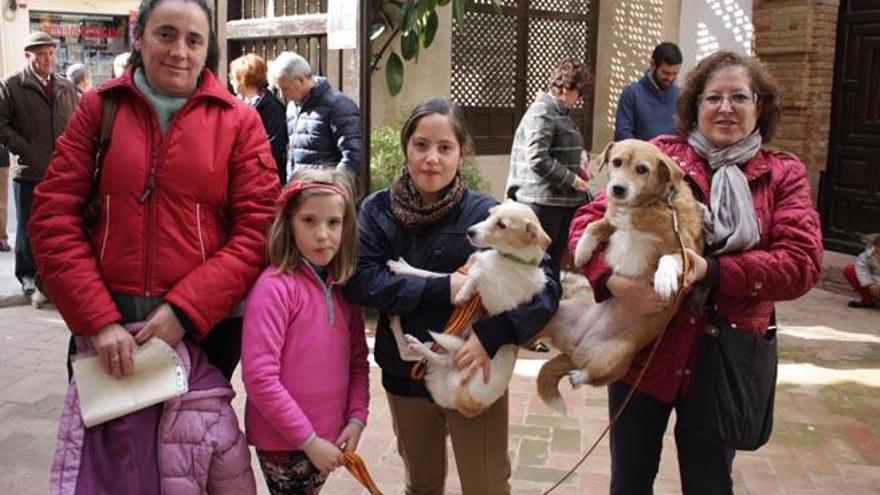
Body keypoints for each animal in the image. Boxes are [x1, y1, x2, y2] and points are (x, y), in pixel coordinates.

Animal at [386, 202, 552, 418]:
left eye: (502, 225)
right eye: (489, 214)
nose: (469, 232)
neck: (511, 259)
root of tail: (469, 405)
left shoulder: (494, 297)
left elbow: (476, 274)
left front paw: (464, 293)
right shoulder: (461, 272)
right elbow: (431, 274)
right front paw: (403, 268)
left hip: (455, 355)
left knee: (427, 356)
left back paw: (413, 340)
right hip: (440, 354)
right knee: (411, 355)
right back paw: (403, 331)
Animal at [532, 139, 704, 414]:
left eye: (642, 169)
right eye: (616, 162)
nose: (617, 189)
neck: (647, 206)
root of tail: (576, 348)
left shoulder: (686, 251)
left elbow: (668, 259)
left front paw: (664, 279)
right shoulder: (611, 222)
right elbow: (595, 225)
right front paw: (582, 252)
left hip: (615, 358)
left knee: (593, 376)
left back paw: (578, 376)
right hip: (557, 313)